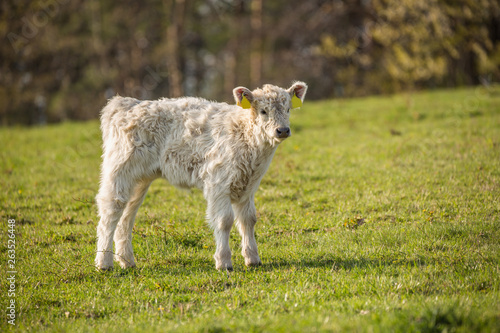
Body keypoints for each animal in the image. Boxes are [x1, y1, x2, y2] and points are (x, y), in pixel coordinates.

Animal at [93, 81, 304, 270]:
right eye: (263, 111)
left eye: (288, 109)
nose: (282, 130)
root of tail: (125, 103)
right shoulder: (218, 182)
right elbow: (224, 220)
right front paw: (224, 261)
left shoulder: (248, 186)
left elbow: (248, 220)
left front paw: (253, 259)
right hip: (119, 169)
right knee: (110, 212)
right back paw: (104, 263)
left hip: (139, 180)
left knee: (126, 217)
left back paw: (127, 261)